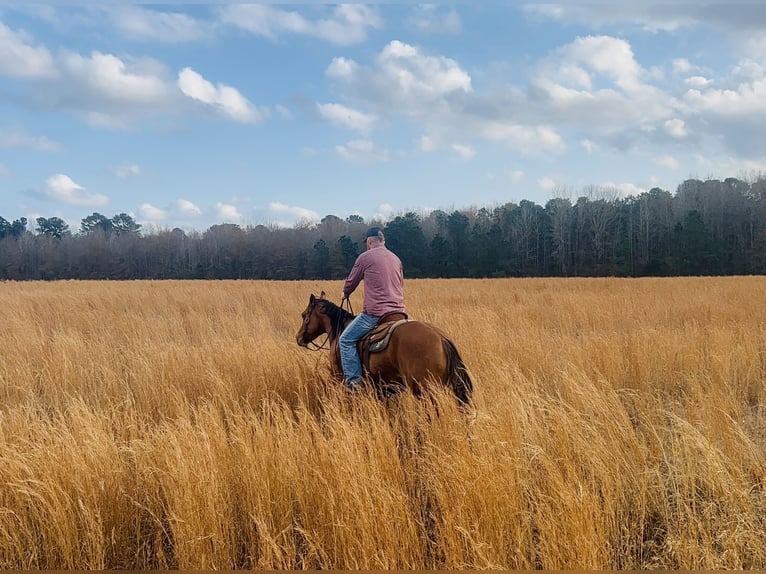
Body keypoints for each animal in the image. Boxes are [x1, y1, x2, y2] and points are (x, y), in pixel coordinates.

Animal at [296, 294, 472, 408]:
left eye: (304, 315)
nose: (298, 338)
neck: (340, 330)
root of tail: (441, 338)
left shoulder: (339, 379)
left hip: (425, 391)